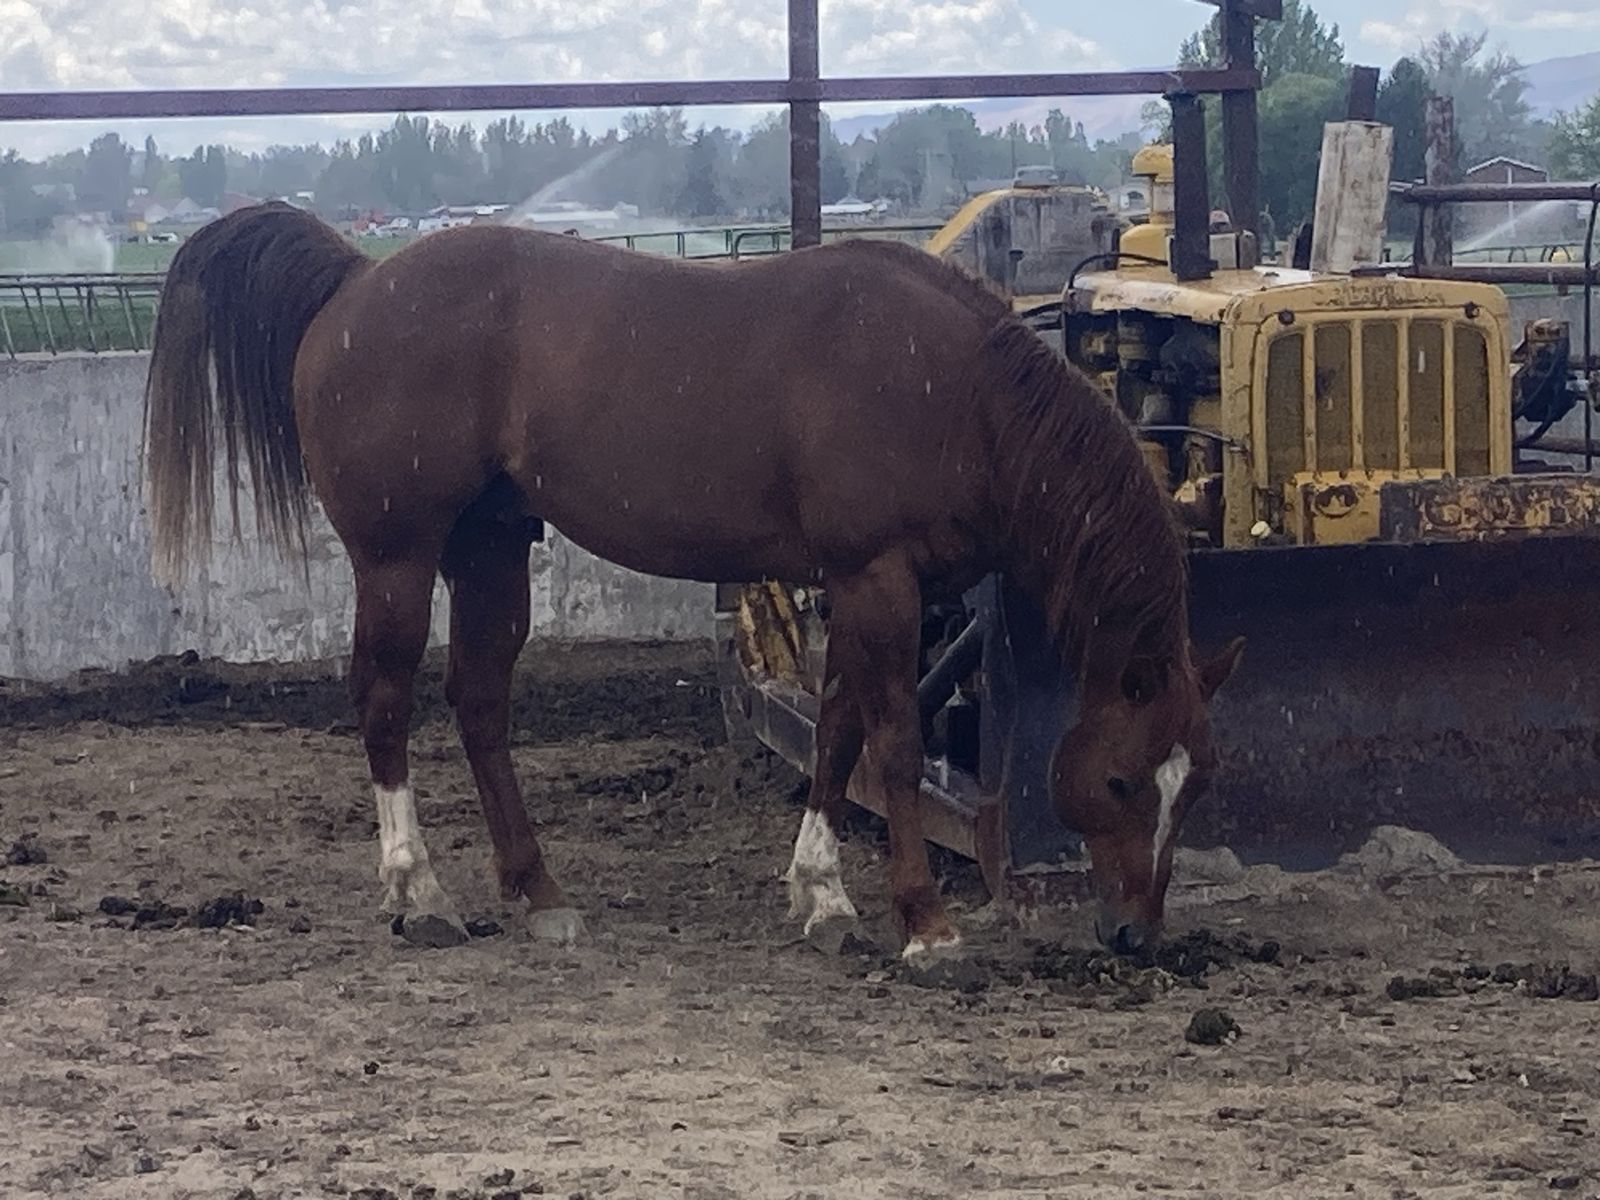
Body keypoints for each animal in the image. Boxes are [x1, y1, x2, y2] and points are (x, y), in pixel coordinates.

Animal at [142, 202, 1244, 959]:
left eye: (1196, 787)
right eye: (1119, 779)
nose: (1135, 936)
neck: (956, 391)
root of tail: (355, 284)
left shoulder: (857, 589)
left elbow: (835, 736)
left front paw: (824, 899)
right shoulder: (877, 581)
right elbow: (891, 744)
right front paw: (925, 924)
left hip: (489, 549)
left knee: (479, 704)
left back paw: (536, 894)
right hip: (398, 560)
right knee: (381, 701)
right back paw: (419, 894)